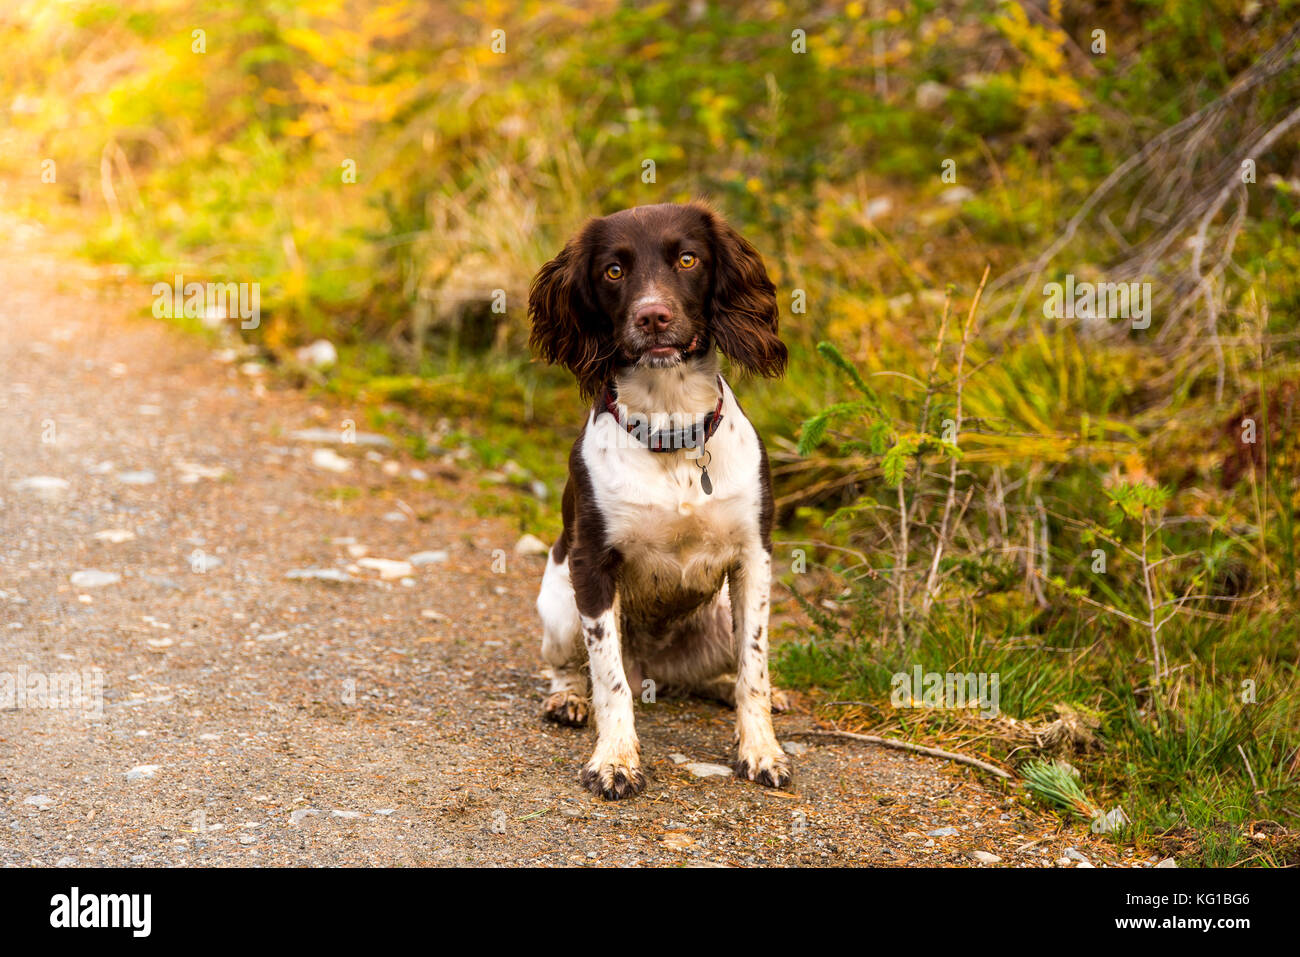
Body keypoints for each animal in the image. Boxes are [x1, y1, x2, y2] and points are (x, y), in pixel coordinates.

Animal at [527, 201, 790, 800]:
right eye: (613, 271)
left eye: (688, 259)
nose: (653, 317)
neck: (672, 433)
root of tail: (658, 670)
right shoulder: (591, 564)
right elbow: (609, 681)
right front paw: (615, 760)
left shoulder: (754, 559)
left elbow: (754, 671)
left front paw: (762, 751)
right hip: (559, 609)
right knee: (569, 667)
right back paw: (567, 698)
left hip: (717, 620)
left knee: (724, 675)